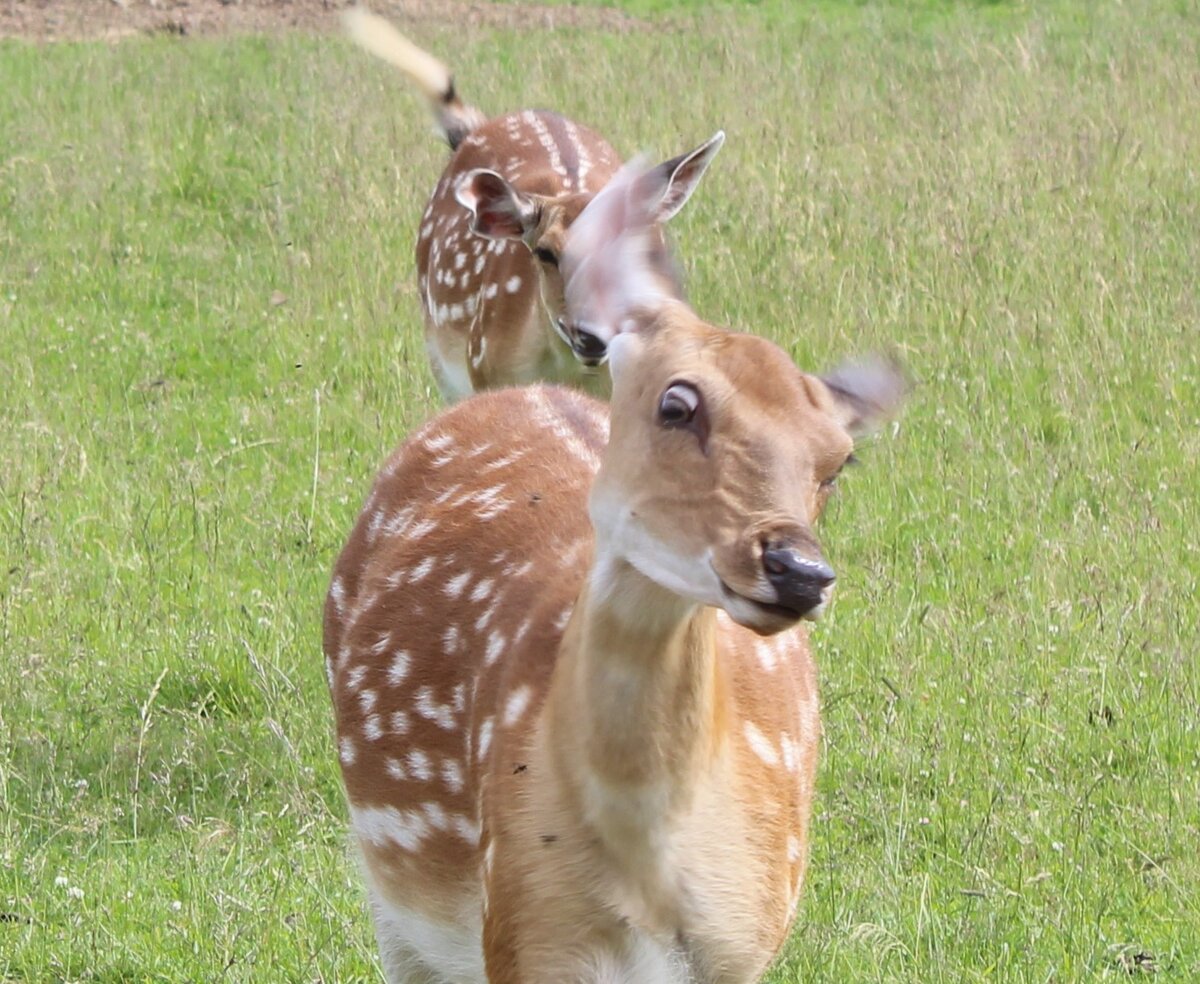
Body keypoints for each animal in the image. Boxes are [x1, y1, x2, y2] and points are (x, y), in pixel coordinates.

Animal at [324, 157, 902, 979]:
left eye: (839, 458)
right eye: (677, 404)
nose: (798, 570)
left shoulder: (749, 939)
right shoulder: (525, 931)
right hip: (396, 907)